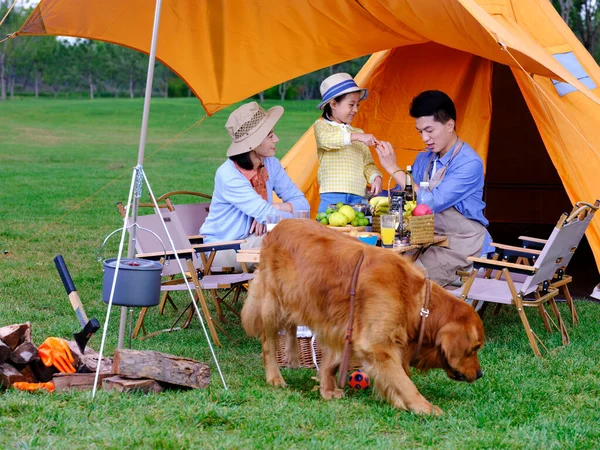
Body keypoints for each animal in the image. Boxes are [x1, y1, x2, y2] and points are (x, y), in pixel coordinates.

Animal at [241, 219, 486, 414]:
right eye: (473, 349)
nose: (480, 374)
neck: (414, 300)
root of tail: (277, 226)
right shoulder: (376, 345)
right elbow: (404, 382)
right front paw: (423, 406)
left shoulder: (347, 330)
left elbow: (333, 362)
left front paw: (327, 388)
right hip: (272, 305)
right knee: (268, 342)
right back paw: (275, 376)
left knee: (291, 324)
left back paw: (292, 356)